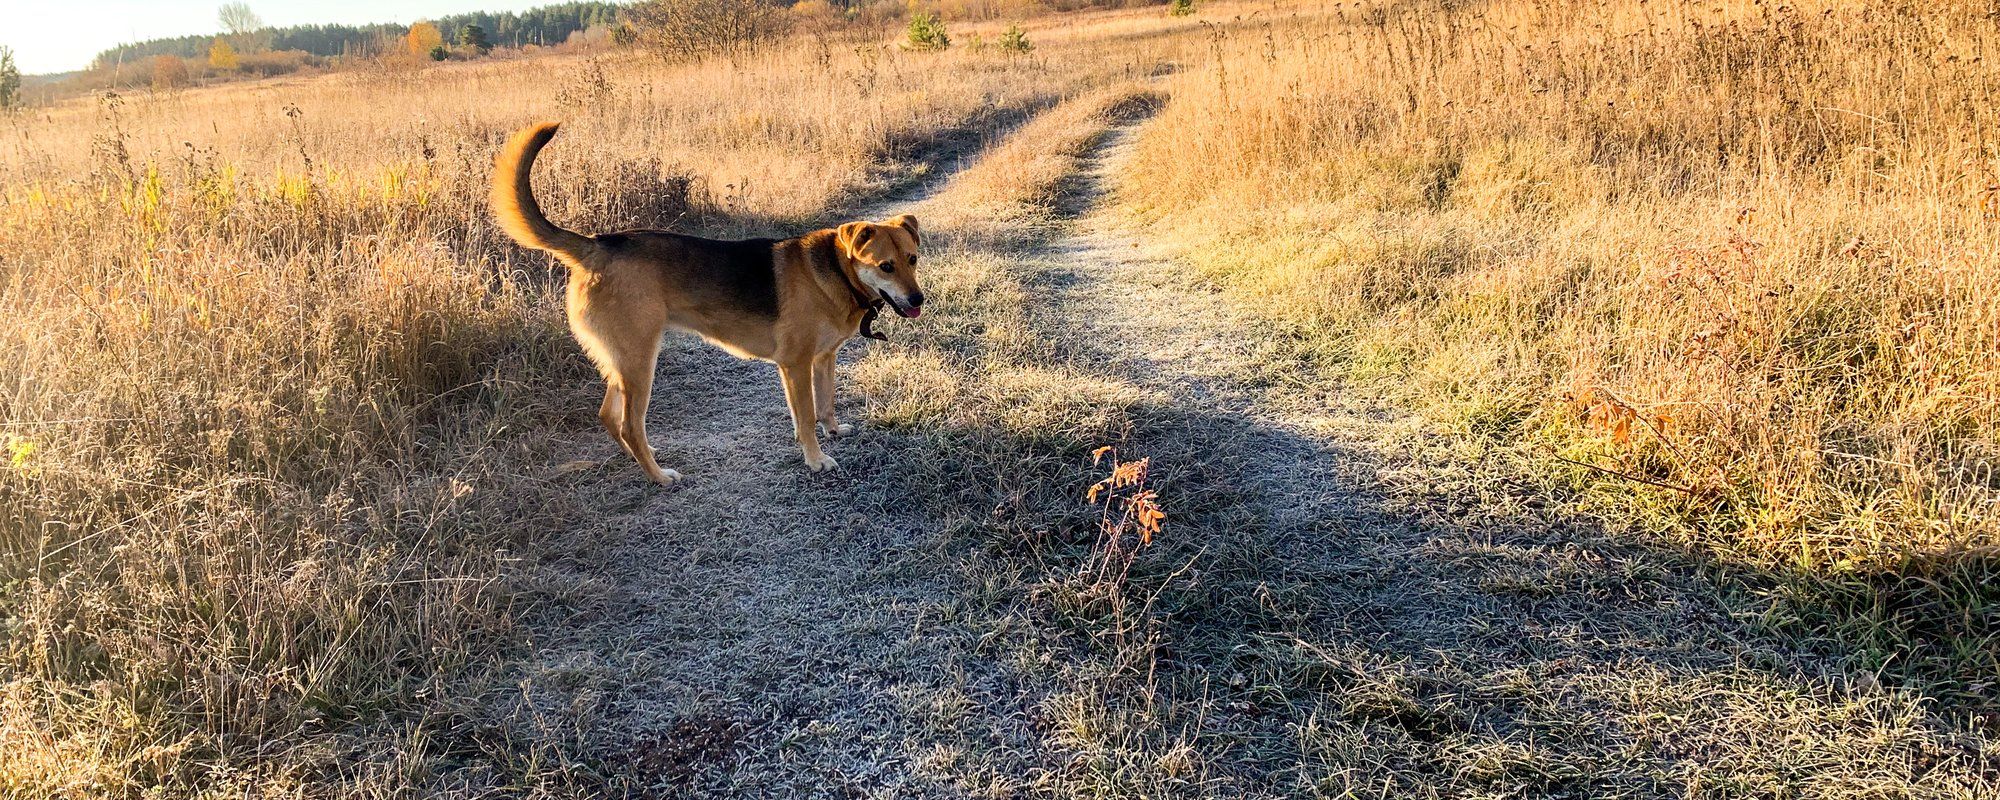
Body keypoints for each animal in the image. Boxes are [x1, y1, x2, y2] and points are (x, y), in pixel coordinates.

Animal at [488, 119, 924, 482]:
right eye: (885, 266)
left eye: (913, 259)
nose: (918, 298)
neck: (836, 271)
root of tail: (597, 246)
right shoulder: (795, 366)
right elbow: (805, 418)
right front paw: (816, 459)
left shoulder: (823, 359)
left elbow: (826, 402)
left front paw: (832, 430)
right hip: (640, 362)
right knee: (629, 423)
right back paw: (659, 477)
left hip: (622, 361)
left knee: (612, 418)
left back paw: (641, 458)